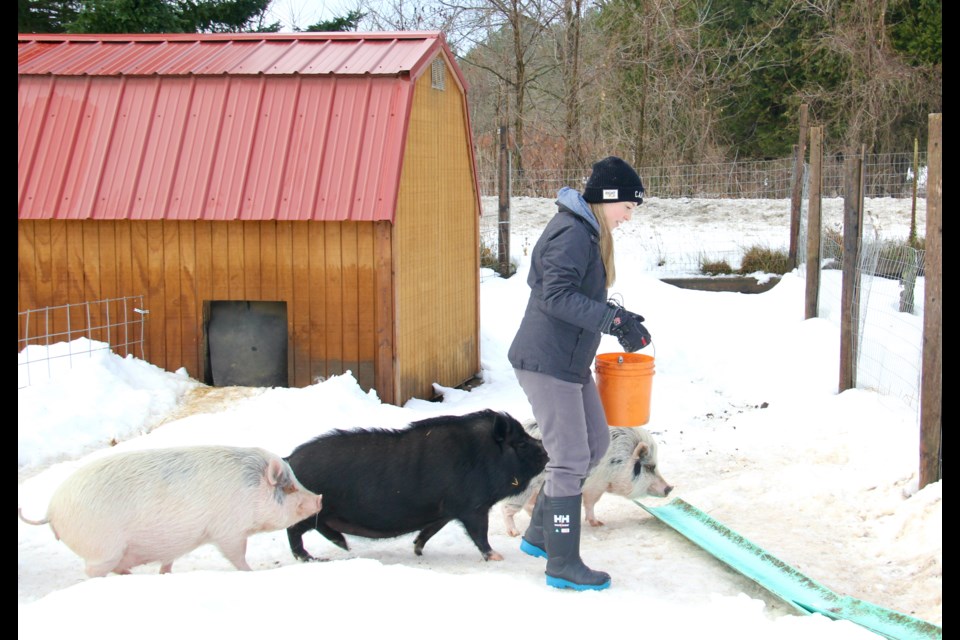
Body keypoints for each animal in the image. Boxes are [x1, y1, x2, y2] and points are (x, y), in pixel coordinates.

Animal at [284, 410, 548, 560]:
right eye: (521, 444)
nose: (546, 452)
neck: (482, 454)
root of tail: (288, 460)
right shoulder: (472, 507)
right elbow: (479, 533)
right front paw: (497, 557)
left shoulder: (444, 511)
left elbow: (430, 531)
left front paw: (418, 550)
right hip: (309, 510)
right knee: (294, 531)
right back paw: (310, 557)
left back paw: (344, 545)